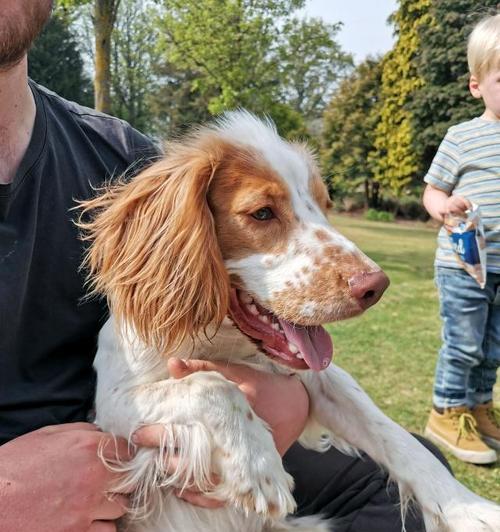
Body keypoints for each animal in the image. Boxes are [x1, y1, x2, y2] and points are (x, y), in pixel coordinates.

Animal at [80, 110, 500, 528]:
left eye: (325, 205)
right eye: (262, 213)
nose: (375, 286)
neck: (221, 342)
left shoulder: (319, 379)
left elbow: (393, 433)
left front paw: (469, 509)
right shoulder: (114, 404)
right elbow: (212, 385)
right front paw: (257, 467)